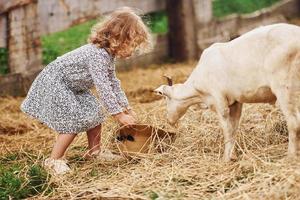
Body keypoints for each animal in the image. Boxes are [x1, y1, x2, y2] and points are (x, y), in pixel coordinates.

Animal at [156, 23, 300, 161]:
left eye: (166, 100)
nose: (168, 121)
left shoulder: (218, 99)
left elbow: (226, 128)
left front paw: (226, 158)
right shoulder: (235, 102)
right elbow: (233, 127)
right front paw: (233, 155)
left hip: (284, 88)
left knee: (294, 122)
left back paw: (290, 157)